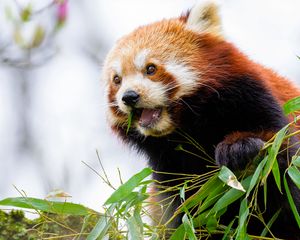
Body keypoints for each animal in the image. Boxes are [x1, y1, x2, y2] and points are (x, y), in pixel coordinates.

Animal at [103, 1, 300, 238]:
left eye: (150, 68)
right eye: (117, 80)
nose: (129, 96)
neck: (190, 129)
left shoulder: (256, 102)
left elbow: (281, 169)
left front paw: (238, 147)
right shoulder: (170, 171)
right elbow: (186, 214)